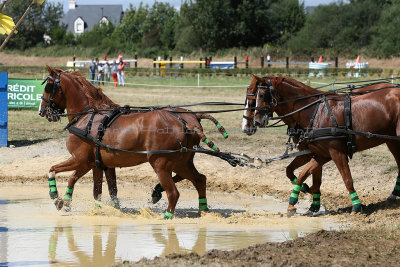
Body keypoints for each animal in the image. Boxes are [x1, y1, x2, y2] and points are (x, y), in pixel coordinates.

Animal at [39, 66, 227, 220]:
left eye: (48, 87)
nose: (42, 111)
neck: (87, 117)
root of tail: (188, 121)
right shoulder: (99, 164)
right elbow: (102, 190)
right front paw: (80, 205)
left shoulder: (81, 160)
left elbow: (55, 170)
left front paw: (56, 197)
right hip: (183, 161)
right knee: (200, 180)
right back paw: (203, 210)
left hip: (161, 163)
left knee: (174, 193)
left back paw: (167, 216)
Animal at [242, 75, 398, 216]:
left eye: (261, 95)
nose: (254, 122)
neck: (315, 111)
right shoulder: (319, 154)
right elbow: (302, 174)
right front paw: (303, 198)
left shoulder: (336, 153)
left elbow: (346, 179)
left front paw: (356, 206)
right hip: (392, 141)